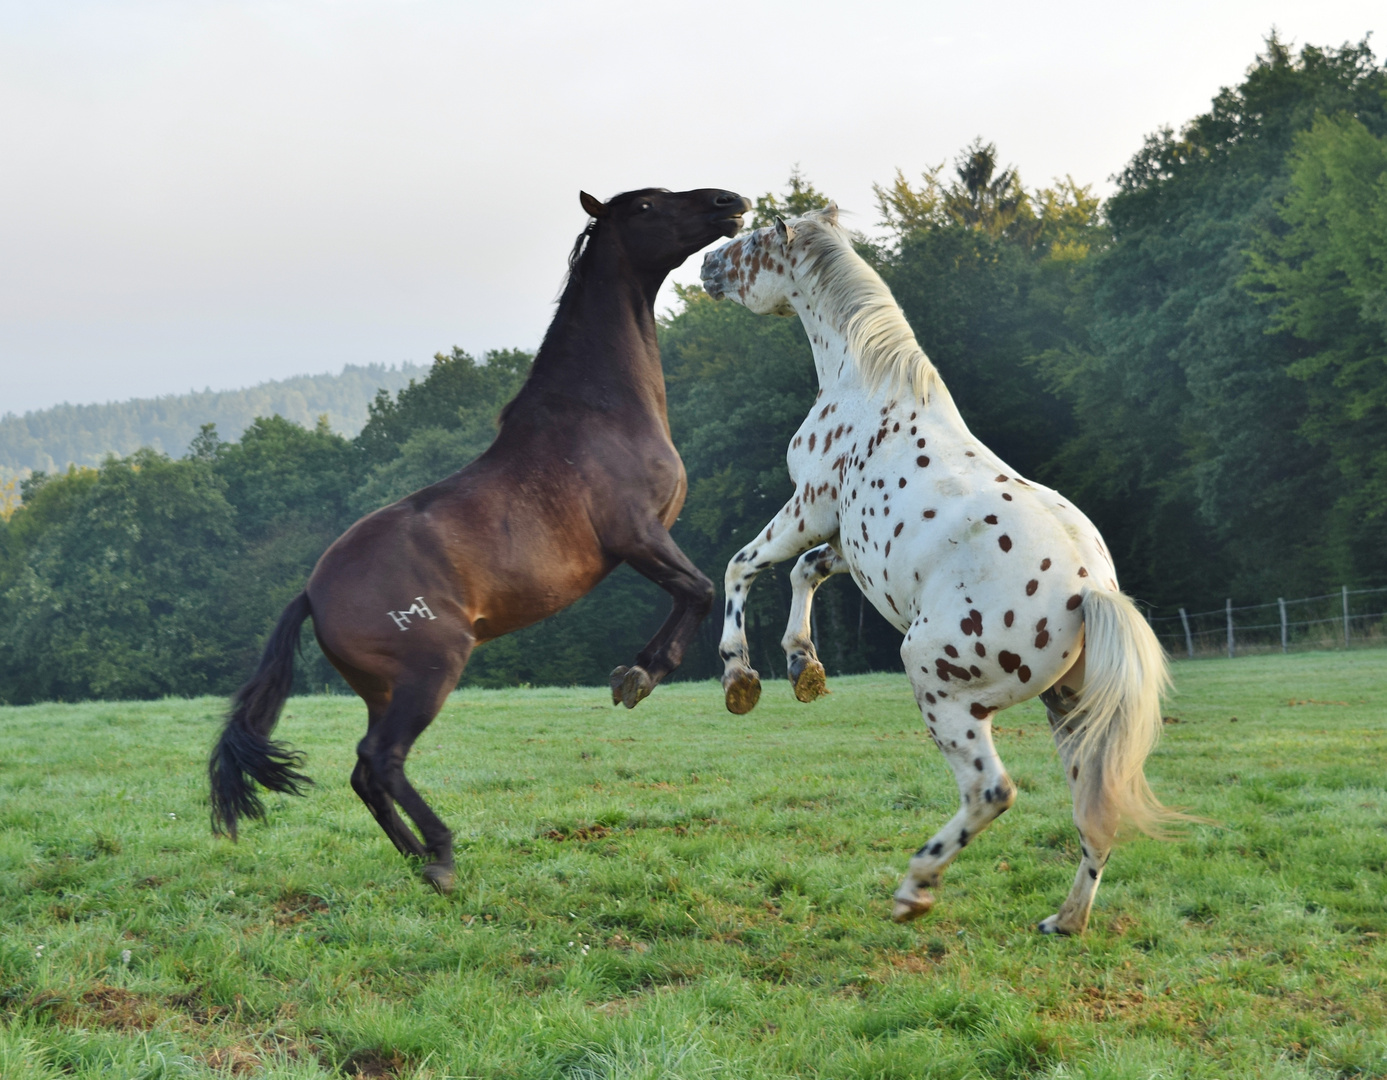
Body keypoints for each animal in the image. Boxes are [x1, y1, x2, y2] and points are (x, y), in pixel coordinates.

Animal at [208, 188, 748, 892]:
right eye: (648, 205)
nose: (728, 201)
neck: (600, 412)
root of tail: (312, 594)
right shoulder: (638, 535)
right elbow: (700, 589)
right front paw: (640, 675)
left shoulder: (647, 540)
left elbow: (694, 592)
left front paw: (634, 671)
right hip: (432, 670)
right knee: (381, 759)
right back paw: (439, 855)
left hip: (384, 690)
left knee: (365, 772)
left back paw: (415, 859)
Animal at [704, 206, 1192, 931]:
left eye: (756, 242)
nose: (707, 265)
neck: (868, 384)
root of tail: (1089, 592)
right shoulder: (845, 542)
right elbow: (805, 574)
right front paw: (802, 667)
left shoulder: (808, 508)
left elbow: (742, 567)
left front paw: (741, 677)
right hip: (1070, 710)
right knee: (1093, 814)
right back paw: (1063, 922)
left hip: (942, 686)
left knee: (991, 791)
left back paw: (916, 887)